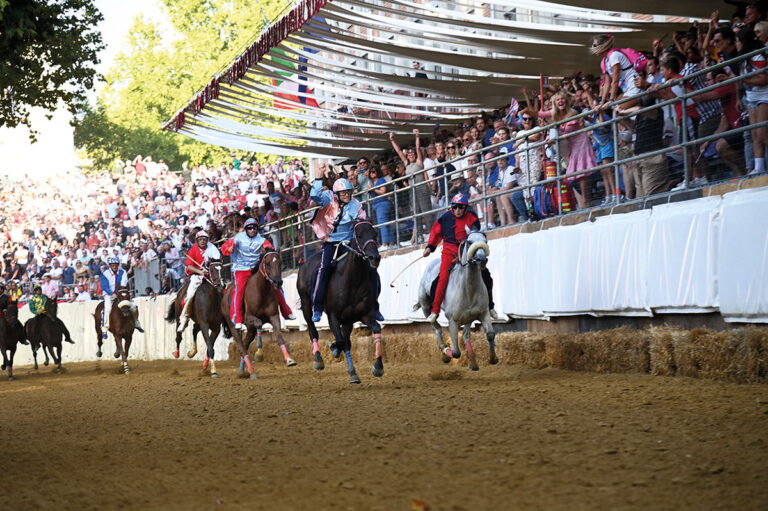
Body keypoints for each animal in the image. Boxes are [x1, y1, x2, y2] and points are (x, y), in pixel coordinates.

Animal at [222, 252, 296, 380]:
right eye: (268, 264)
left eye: (280, 262)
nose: (278, 282)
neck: (261, 290)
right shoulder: (248, 318)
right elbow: (259, 324)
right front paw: (259, 354)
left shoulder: (274, 316)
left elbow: (279, 336)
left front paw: (289, 359)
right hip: (233, 326)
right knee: (241, 346)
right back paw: (251, 371)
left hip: (250, 329)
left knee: (245, 344)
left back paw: (243, 370)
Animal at [298, 220, 388, 384]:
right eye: (359, 235)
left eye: (374, 234)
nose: (374, 258)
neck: (353, 280)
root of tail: (304, 264)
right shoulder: (333, 316)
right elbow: (339, 341)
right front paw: (332, 347)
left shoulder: (365, 315)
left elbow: (376, 329)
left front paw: (378, 367)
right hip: (306, 305)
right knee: (313, 331)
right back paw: (318, 359)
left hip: (348, 320)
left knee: (346, 341)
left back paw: (353, 373)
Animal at [414, 228, 498, 372]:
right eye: (470, 242)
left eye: (485, 241)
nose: (481, 259)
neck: (468, 289)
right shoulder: (452, 321)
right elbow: (456, 352)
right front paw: (445, 349)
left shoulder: (483, 313)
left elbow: (490, 334)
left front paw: (493, 358)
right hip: (425, 306)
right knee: (436, 328)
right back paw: (443, 349)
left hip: (469, 317)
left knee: (465, 335)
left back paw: (473, 362)